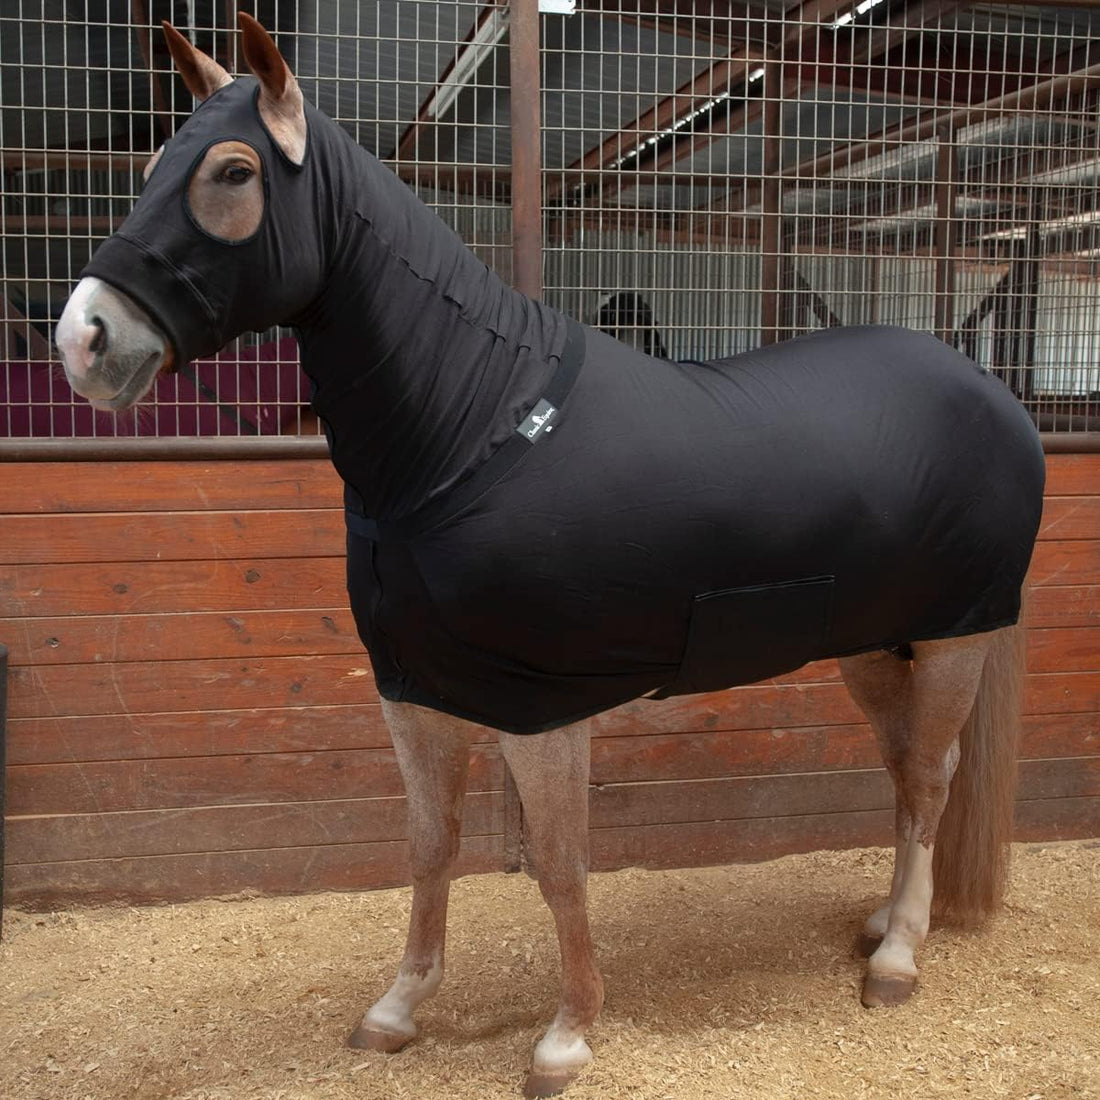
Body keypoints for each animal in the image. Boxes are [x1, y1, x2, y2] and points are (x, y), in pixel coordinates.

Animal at [55, 15, 1046, 1097]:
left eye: (232, 171)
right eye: (153, 162)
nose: (84, 339)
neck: (472, 433)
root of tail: (991, 392)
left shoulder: (542, 709)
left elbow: (563, 867)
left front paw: (567, 1035)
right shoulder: (417, 696)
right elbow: (428, 847)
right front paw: (397, 1009)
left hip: (955, 636)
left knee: (931, 778)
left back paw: (898, 958)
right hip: (872, 646)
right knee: (907, 765)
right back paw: (880, 923)